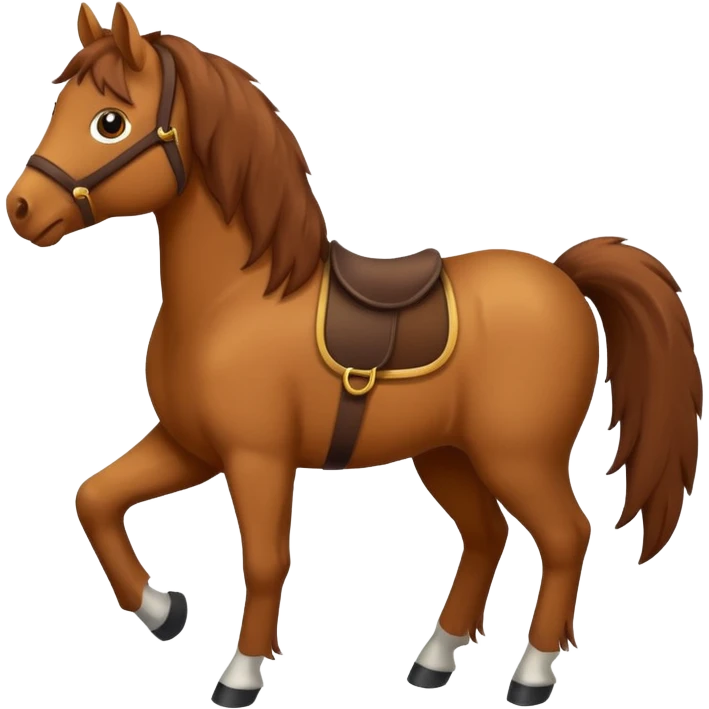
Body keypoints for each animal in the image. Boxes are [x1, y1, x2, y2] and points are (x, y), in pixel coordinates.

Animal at [6, 3, 702, 707]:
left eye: (109, 121)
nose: (21, 208)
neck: (234, 298)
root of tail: (564, 277)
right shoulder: (189, 445)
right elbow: (95, 498)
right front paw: (164, 610)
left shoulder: (256, 457)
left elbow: (265, 561)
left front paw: (240, 674)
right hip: (447, 454)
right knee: (487, 537)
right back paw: (433, 662)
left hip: (519, 457)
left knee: (565, 537)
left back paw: (531, 674)